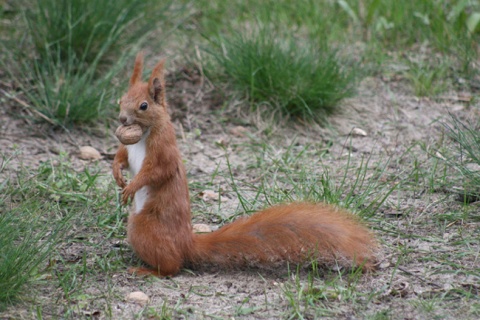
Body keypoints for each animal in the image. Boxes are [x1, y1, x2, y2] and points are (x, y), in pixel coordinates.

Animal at [112, 53, 378, 276]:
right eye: (120, 100)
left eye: (144, 105)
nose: (122, 119)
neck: (144, 134)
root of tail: (187, 244)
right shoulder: (128, 147)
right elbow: (121, 156)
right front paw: (117, 173)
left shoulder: (164, 149)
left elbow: (158, 171)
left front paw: (132, 186)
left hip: (145, 229)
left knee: (173, 267)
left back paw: (148, 270)